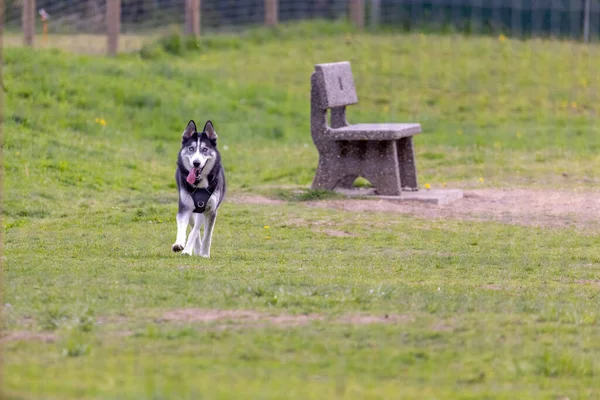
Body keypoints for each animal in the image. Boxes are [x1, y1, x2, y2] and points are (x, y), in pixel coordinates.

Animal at [172, 120, 226, 258]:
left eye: (204, 150)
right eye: (191, 149)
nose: (196, 163)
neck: (199, 184)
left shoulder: (210, 210)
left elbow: (205, 234)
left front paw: (204, 253)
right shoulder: (185, 207)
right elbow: (184, 228)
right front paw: (179, 244)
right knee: (192, 226)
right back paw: (194, 249)